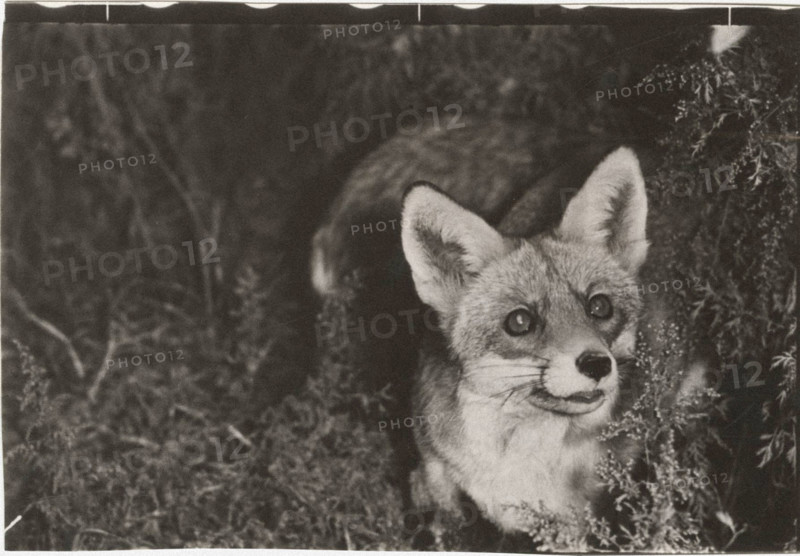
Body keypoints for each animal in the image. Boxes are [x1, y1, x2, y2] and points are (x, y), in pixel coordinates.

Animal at [310, 119, 705, 535]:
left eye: (600, 307)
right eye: (519, 321)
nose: (597, 364)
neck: (517, 456)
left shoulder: (582, 519)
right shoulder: (430, 479)